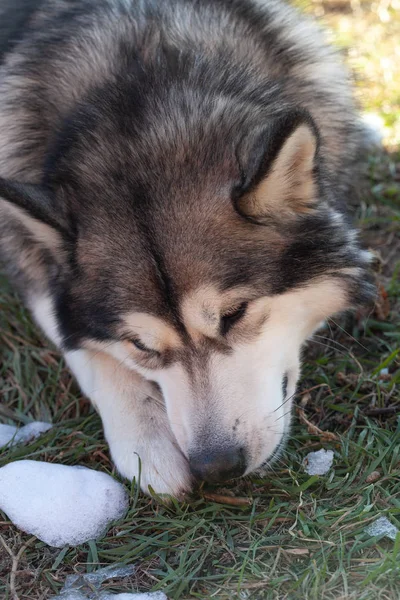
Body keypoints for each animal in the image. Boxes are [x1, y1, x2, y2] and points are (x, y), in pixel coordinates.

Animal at [0, 0, 376, 496]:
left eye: (234, 314)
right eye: (140, 343)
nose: (216, 467)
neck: (143, 71)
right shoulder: (30, 266)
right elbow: (84, 349)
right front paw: (147, 437)